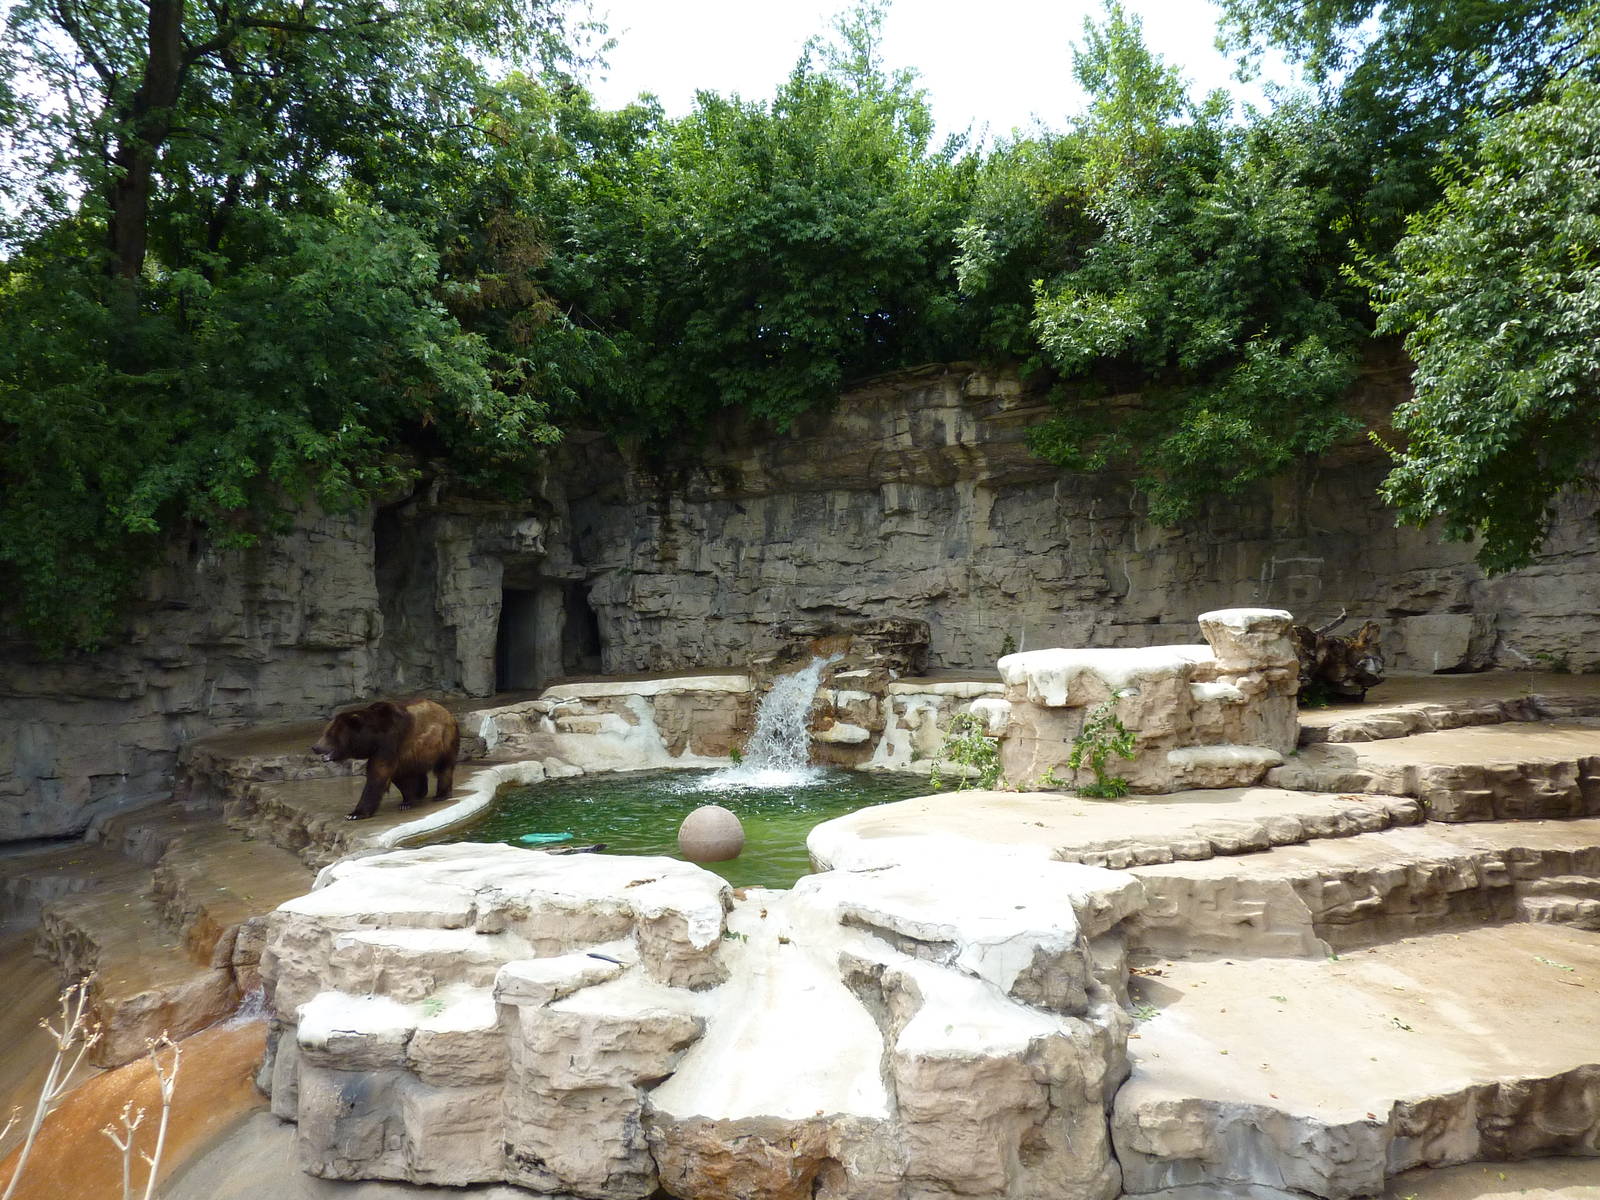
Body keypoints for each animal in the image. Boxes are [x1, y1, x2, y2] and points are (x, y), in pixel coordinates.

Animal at [310, 698, 461, 821]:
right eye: (325, 732)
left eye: (329, 734)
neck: (372, 738)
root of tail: (448, 713)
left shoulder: (389, 743)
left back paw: (441, 794)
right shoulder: (396, 752)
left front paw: (354, 814)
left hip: (444, 739)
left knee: (444, 767)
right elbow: (398, 776)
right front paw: (409, 800)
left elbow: (378, 775)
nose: (315, 747)